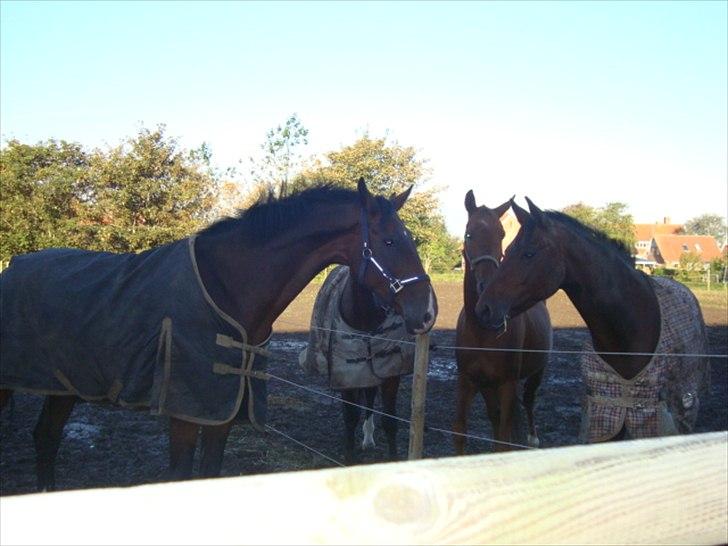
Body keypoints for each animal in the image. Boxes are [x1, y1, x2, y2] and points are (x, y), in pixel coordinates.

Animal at [0, 180, 436, 488]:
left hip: (63, 386)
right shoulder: (186, 410)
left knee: (46, 437)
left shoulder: (222, 412)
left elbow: (210, 471)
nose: (428, 311)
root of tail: (13, 266)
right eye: (389, 240)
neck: (227, 289)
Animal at [456, 189, 552, 452]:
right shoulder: (468, 382)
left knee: (528, 400)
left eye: (501, 234)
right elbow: (461, 432)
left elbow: (503, 438)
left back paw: (533, 437)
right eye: (469, 233)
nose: (487, 284)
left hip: (537, 371)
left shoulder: (507, 385)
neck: (481, 330)